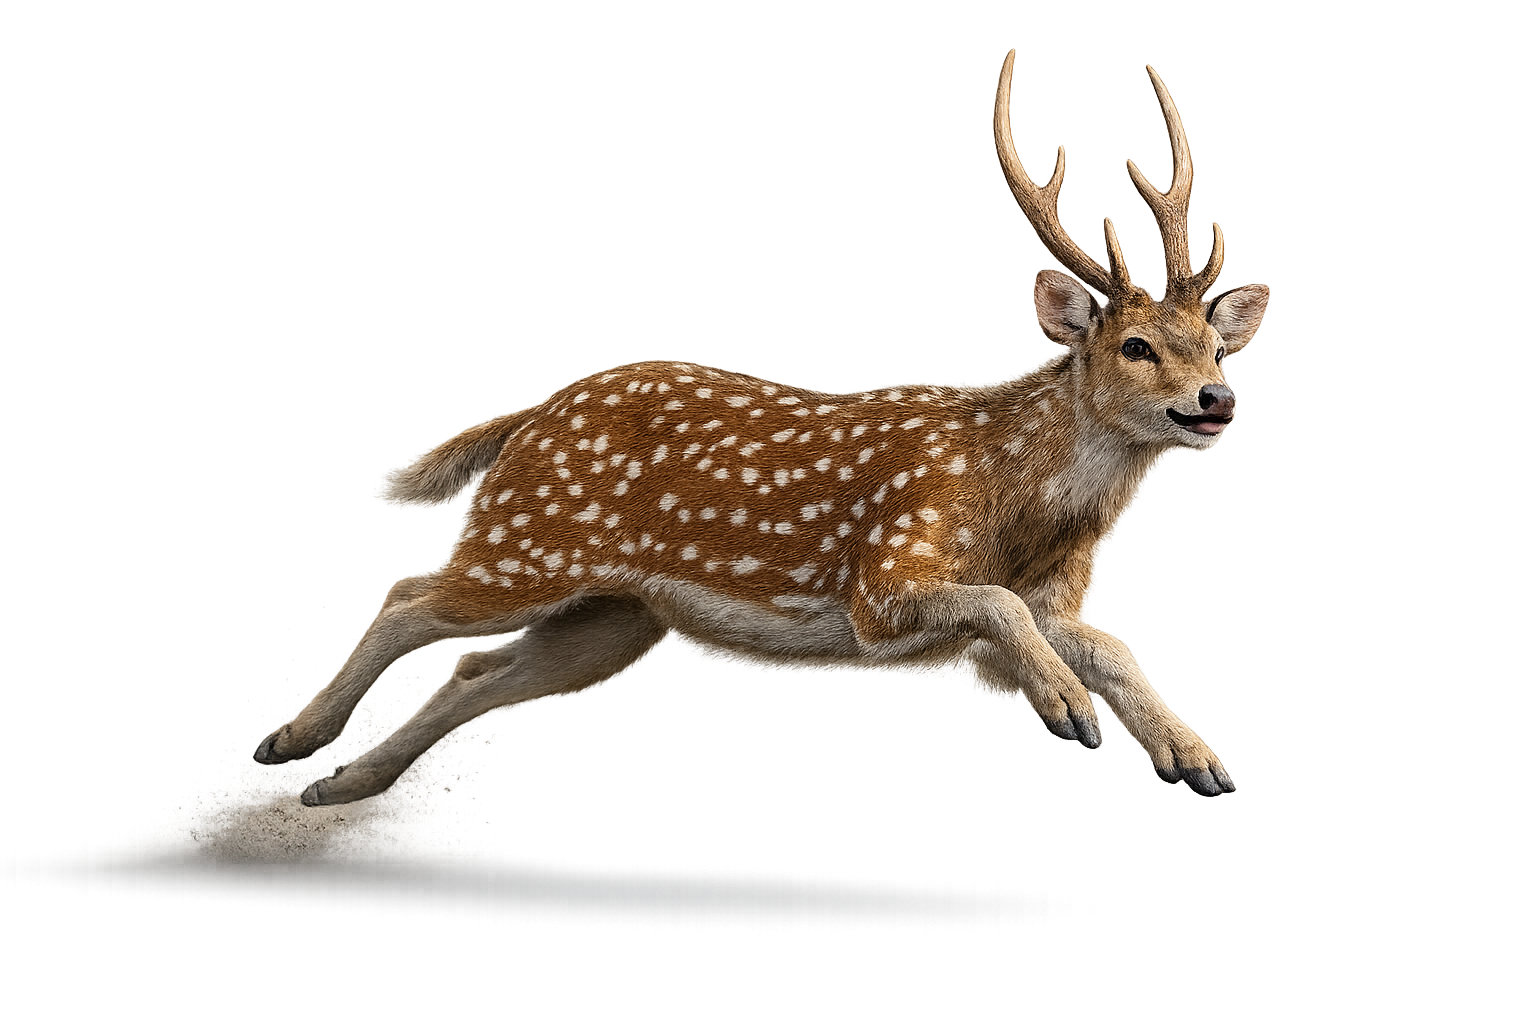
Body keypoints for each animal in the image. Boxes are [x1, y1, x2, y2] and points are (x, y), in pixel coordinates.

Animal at [254, 50, 1268, 805]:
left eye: (1218, 346)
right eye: (1136, 344)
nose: (1216, 401)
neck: (1013, 499)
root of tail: (528, 419)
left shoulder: (1049, 600)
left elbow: (1108, 645)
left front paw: (1194, 756)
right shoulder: (883, 576)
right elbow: (1001, 608)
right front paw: (1064, 706)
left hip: (613, 617)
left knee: (477, 670)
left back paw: (344, 783)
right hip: (531, 544)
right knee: (407, 600)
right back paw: (294, 740)